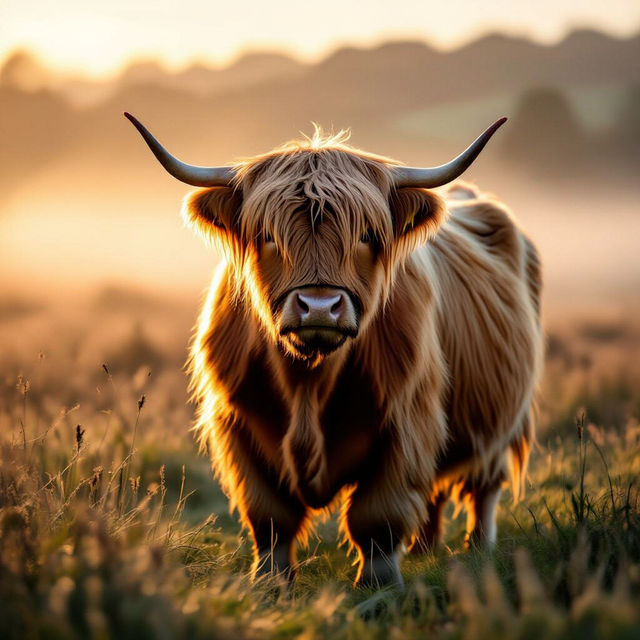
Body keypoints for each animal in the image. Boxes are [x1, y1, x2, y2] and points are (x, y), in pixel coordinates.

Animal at [126, 113, 543, 588]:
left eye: (366, 235)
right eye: (268, 236)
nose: (320, 306)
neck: (308, 381)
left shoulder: (406, 424)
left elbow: (377, 517)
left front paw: (380, 585)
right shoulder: (239, 423)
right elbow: (269, 517)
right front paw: (270, 583)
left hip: (504, 422)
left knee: (483, 488)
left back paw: (478, 549)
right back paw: (425, 548)